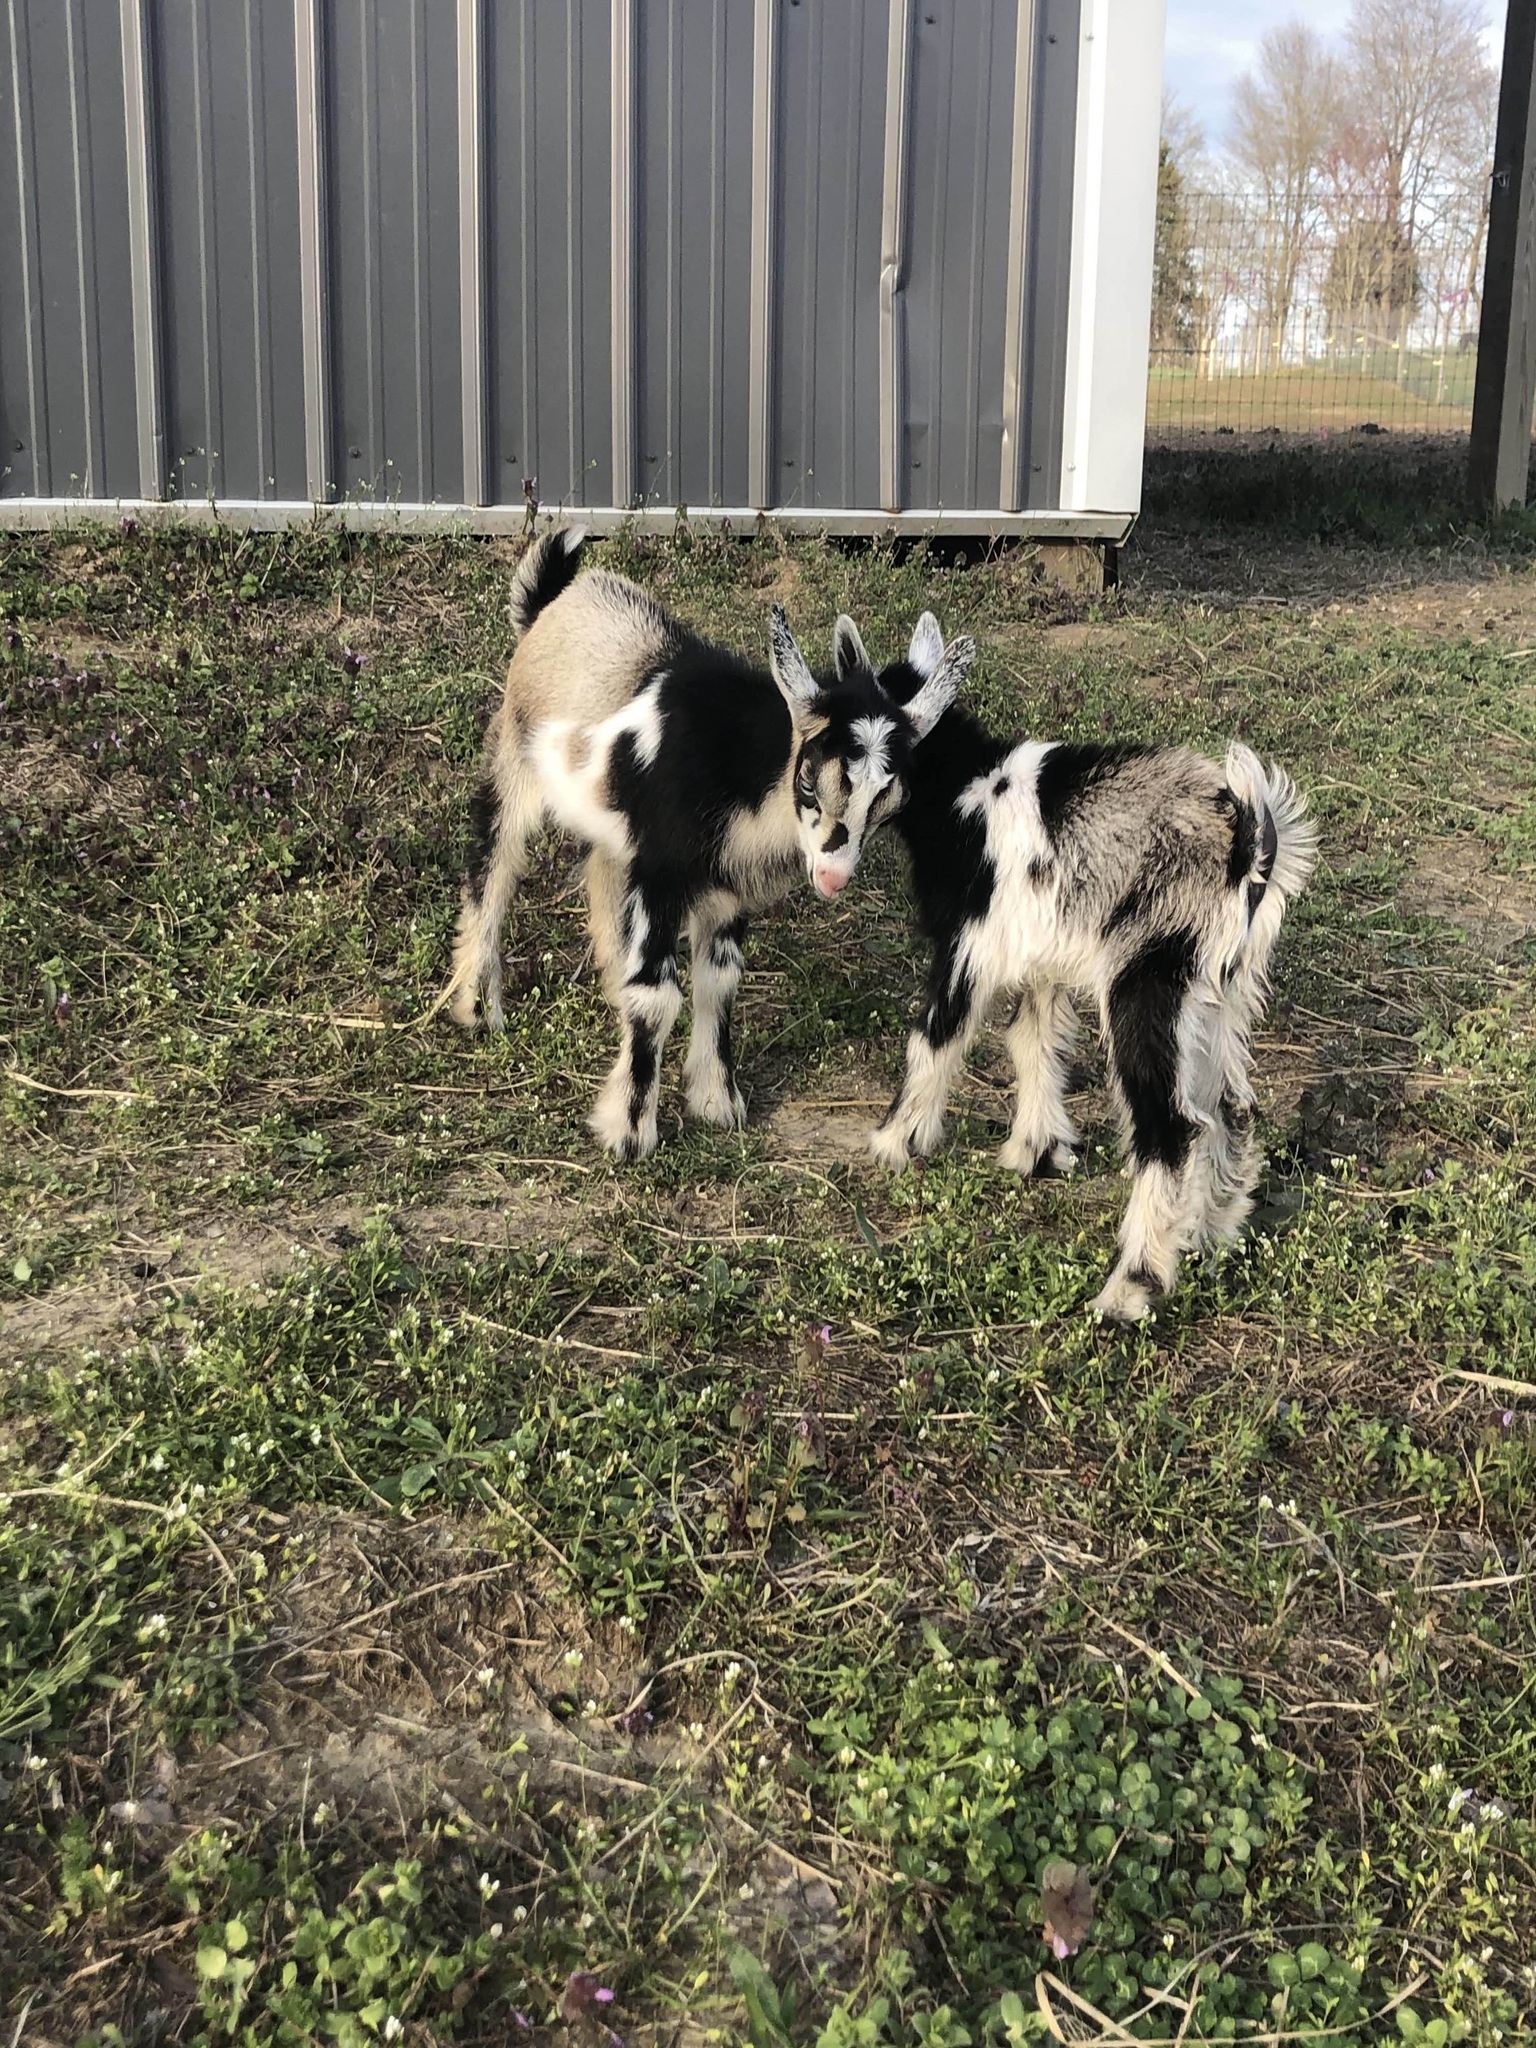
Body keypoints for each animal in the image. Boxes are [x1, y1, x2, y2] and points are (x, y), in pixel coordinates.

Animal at [447, 531, 973, 1161]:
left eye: (891, 798)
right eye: (808, 779)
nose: (833, 876)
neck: (746, 769)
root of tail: (550, 606)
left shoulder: (726, 884)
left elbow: (719, 979)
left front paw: (717, 1102)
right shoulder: (664, 871)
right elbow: (656, 994)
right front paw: (630, 1132)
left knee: (600, 877)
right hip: (515, 761)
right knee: (493, 864)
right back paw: (478, 1008)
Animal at [853, 613, 1317, 1322]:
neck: (962, 786)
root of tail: (1247, 840)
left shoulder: (967, 946)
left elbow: (934, 1036)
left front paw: (894, 1142)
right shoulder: (1040, 956)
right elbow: (1033, 1039)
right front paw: (1036, 1152)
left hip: (1147, 978)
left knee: (1171, 1126)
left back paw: (1132, 1287)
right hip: (1221, 990)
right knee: (1231, 1107)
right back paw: (1209, 1239)